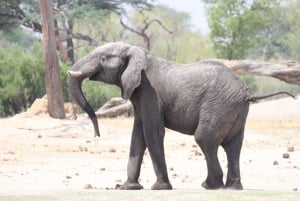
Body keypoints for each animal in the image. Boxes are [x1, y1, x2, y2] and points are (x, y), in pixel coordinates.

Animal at [67, 41, 294, 190]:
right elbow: (138, 135)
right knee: (233, 145)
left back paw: (209, 185)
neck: (138, 52)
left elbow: (152, 133)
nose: (96, 135)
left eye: (103, 58)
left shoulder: (149, 93)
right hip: (235, 110)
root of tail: (246, 92)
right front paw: (127, 188)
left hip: (219, 106)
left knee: (205, 139)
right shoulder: (140, 95)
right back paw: (232, 187)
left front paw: (159, 188)